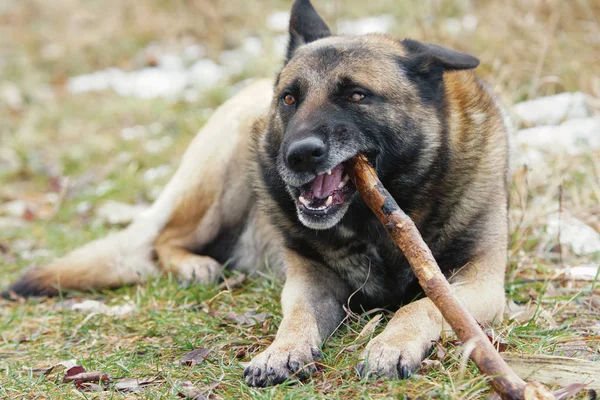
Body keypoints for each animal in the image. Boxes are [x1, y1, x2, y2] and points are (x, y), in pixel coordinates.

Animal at [7, 0, 508, 388]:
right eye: (290, 99)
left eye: (357, 96)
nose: (298, 155)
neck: (378, 220)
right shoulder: (309, 280)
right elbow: (297, 318)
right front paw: (279, 352)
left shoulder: (480, 283)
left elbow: (422, 305)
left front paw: (392, 344)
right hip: (224, 170)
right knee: (163, 240)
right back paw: (195, 266)